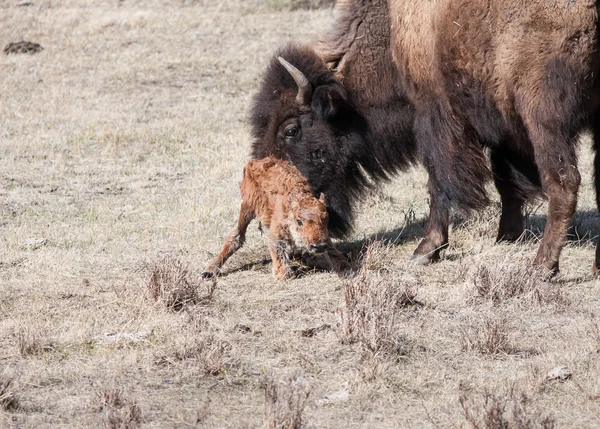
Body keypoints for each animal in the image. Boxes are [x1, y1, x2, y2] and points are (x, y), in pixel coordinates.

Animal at [203, 155, 346, 280]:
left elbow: (340, 261)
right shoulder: (276, 235)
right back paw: (209, 271)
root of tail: (253, 162)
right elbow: (284, 272)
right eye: (299, 221)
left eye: (326, 219)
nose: (319, 246)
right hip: (248, 206)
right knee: (237, 235)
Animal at [250, 0, 600, 272]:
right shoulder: (502, 128)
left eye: (291, 130)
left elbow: (438, 183)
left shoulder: (436, 116)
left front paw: (425, 250)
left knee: (565, 182)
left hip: (544, 120)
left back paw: (542, 267)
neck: (392, 30)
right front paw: (506, 236)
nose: (268, 215)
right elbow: (507, 182)